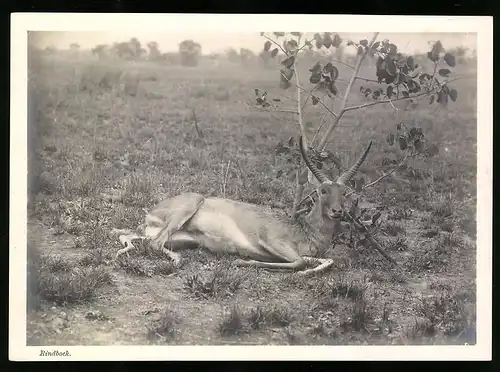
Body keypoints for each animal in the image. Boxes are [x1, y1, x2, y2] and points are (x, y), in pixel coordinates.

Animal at [113, 137, 372, 276]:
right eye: (322, 191)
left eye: (345, 192)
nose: (338, 211)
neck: (305, 231)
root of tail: (150, 214)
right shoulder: (271, 240)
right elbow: (298, 261)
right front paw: (242, 261)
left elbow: (323, 261)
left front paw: (309, 270)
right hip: (187, 209)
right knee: (152, 243)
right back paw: (177, 261)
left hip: (183, 238)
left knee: (141, 240)